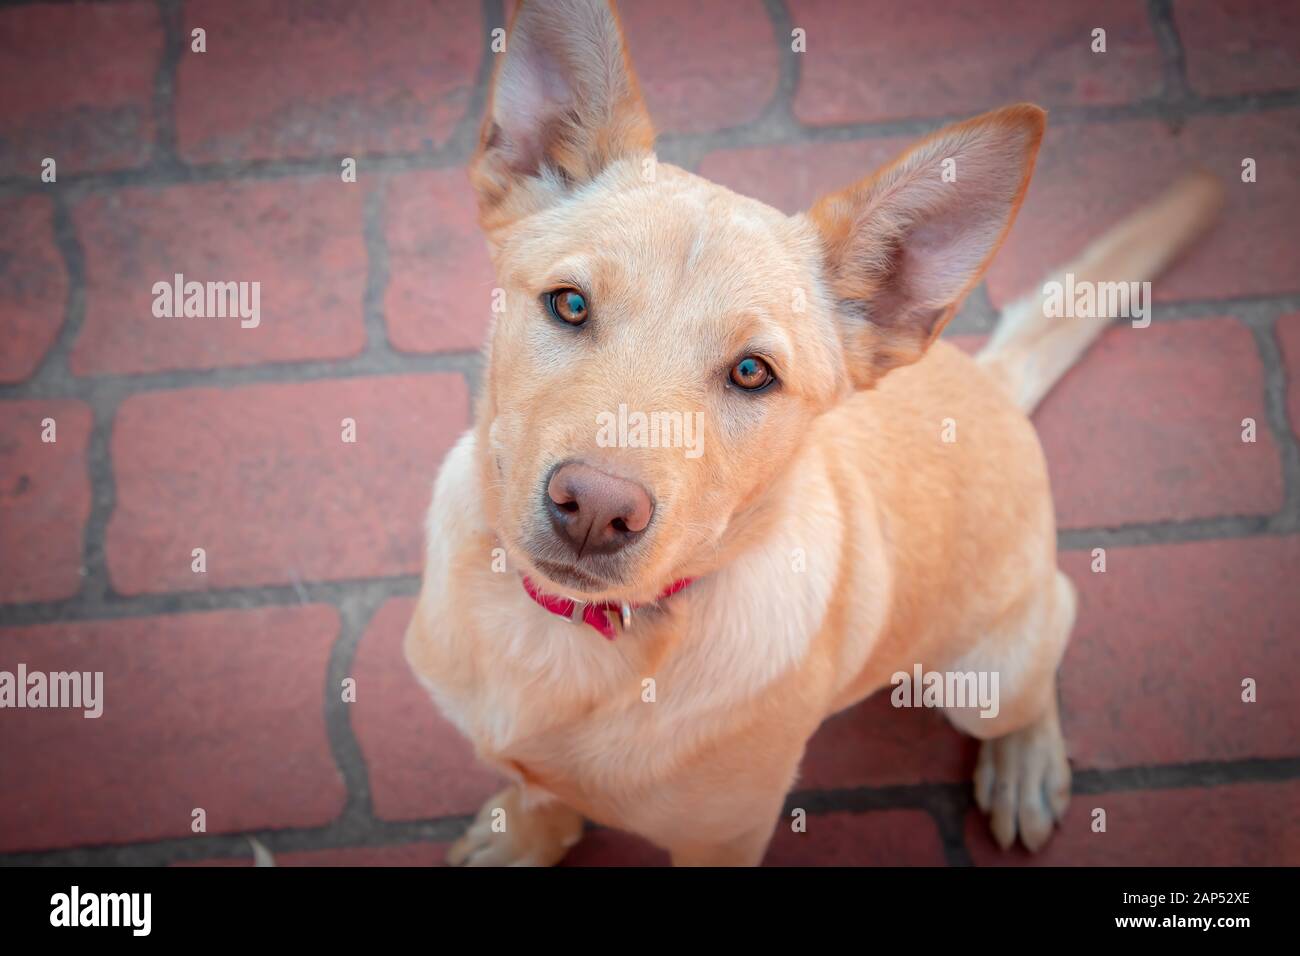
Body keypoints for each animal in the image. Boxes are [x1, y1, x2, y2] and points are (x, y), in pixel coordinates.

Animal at [403, 0, 1216, 868]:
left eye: (752, 373)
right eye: (570, 304)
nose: (594, 508)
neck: (563, 636)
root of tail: (992, 378)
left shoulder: (726, 839)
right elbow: (539, 786)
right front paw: (528, 831)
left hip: (985, 676)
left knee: (1053, 628)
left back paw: (1025, 762)